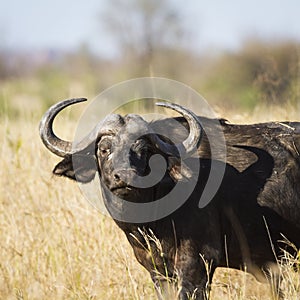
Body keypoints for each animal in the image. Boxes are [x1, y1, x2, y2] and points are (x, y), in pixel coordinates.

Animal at [39, 98, 300, 298]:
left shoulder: (197, 263)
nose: (124, 176)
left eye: (143, 150)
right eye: (104, 149)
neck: (150, 222)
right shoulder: (157, 270)